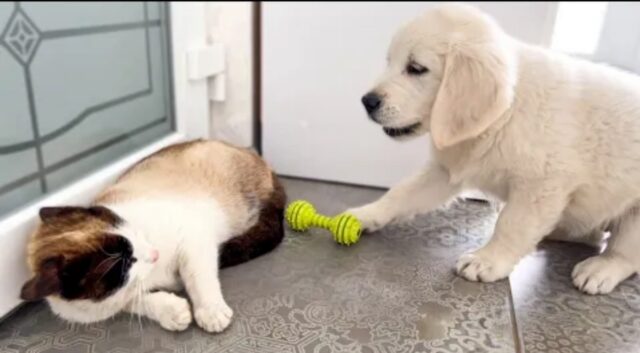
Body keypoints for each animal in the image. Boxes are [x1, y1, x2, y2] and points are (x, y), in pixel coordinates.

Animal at [20, 139, 284, 332]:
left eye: (133, 233)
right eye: (125, 263)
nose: (154, 254)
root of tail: (249, 151)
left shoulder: (193, 239)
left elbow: (197, 278)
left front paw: (210, 312)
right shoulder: (113, 303)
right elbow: (139, 302)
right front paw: (174, 312)